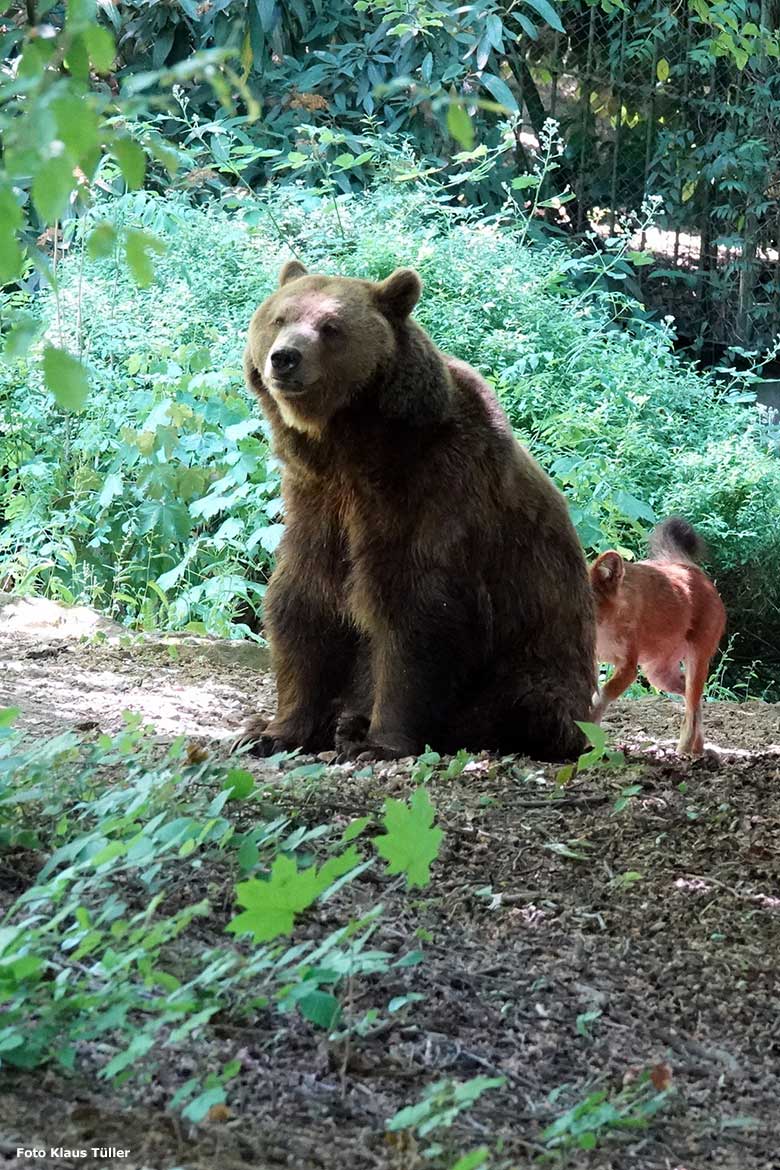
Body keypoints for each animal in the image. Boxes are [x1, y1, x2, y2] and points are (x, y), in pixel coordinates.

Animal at [235, 260, 594, 762]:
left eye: (330, 327)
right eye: (279, 318)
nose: (284, 358)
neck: (352, 447)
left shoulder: (432, 492)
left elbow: (417, 611)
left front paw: (380, 743)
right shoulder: (315, 499)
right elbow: (304, 602)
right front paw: (272, 731)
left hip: (537, 668)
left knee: (524, 701)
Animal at [591, 517, 725, 753]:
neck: (604, 631)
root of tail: (689, 568)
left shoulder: (628, 668)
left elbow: (601, 697)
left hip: (694, 661)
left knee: (691, 708)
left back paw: (684, 752)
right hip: (659, 675)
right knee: (693, 701)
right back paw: (697, 749)